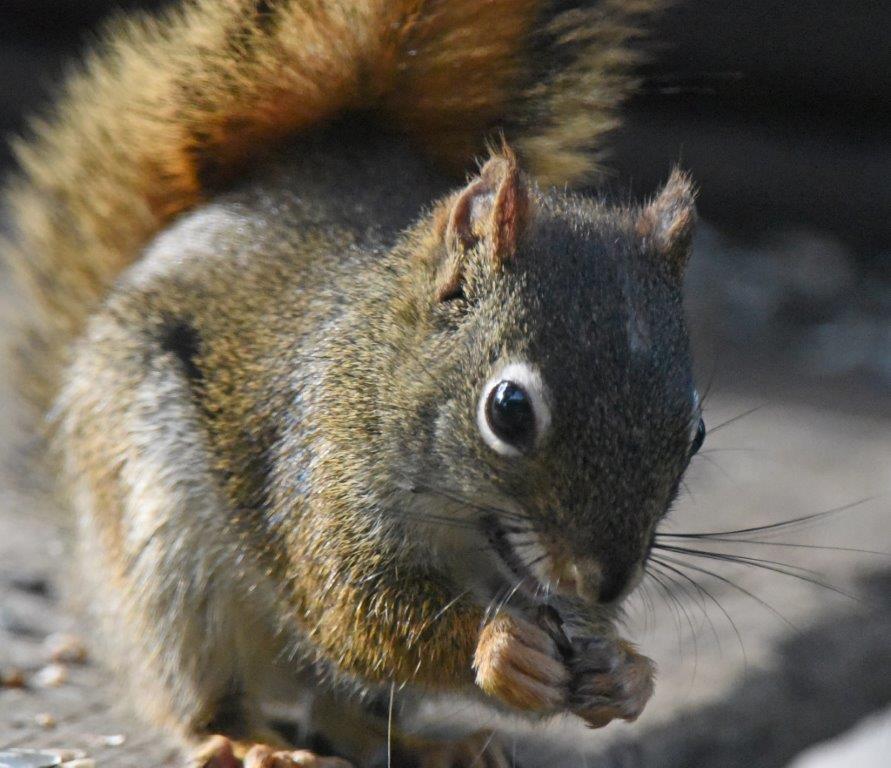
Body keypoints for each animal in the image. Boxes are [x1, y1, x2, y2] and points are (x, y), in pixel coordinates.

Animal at [2, 1, 705, 766]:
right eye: (509, 410)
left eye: (695, 433)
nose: (606, 582)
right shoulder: (318, 479)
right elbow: (352, 614)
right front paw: (501, 648)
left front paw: (624, 672)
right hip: (157, 538)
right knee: (201, 692)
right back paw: (249, 740)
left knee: (342, 711)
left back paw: (433, 746)